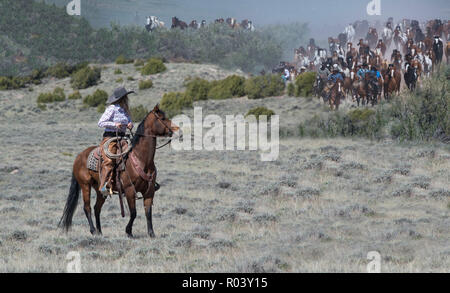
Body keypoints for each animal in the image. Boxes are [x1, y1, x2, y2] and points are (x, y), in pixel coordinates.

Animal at [59, 105, 180, 237]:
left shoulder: (149, 191)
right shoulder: (129, 190)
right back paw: (93, 231)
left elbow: (148, 212)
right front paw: (129, 232)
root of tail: (79, 156)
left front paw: (151, 233)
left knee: (97, 208)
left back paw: (100, 231)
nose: (176, 129)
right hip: (85, 185)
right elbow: (133, 213)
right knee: (87, 208)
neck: (141, 158)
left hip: (100, 190)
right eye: (162, 118)